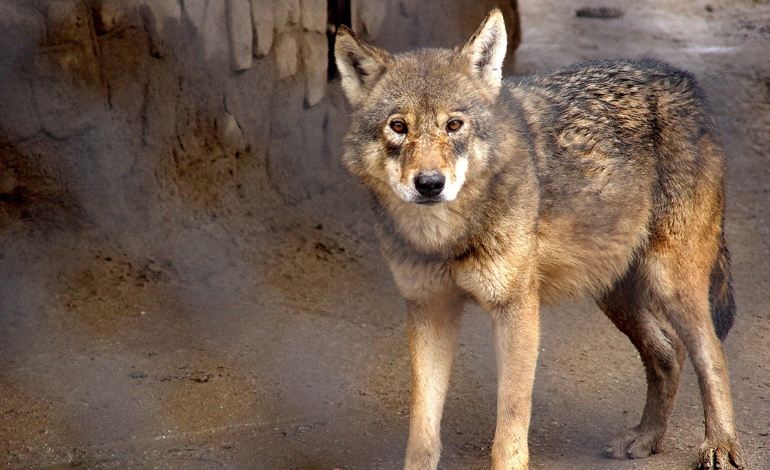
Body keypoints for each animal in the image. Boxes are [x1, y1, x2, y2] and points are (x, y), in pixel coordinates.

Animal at [334, 8, 745, 470]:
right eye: (398, 127)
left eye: (454, 125)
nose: (429, 184)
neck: (446, 238)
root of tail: (684, 81)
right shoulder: (429, 309)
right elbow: (422, 432)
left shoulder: (517, 309)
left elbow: (510, 425)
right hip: (614, 293)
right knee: (668, 353)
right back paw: (646, 437)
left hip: (670, 284)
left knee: (712, 355)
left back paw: (719, 446)